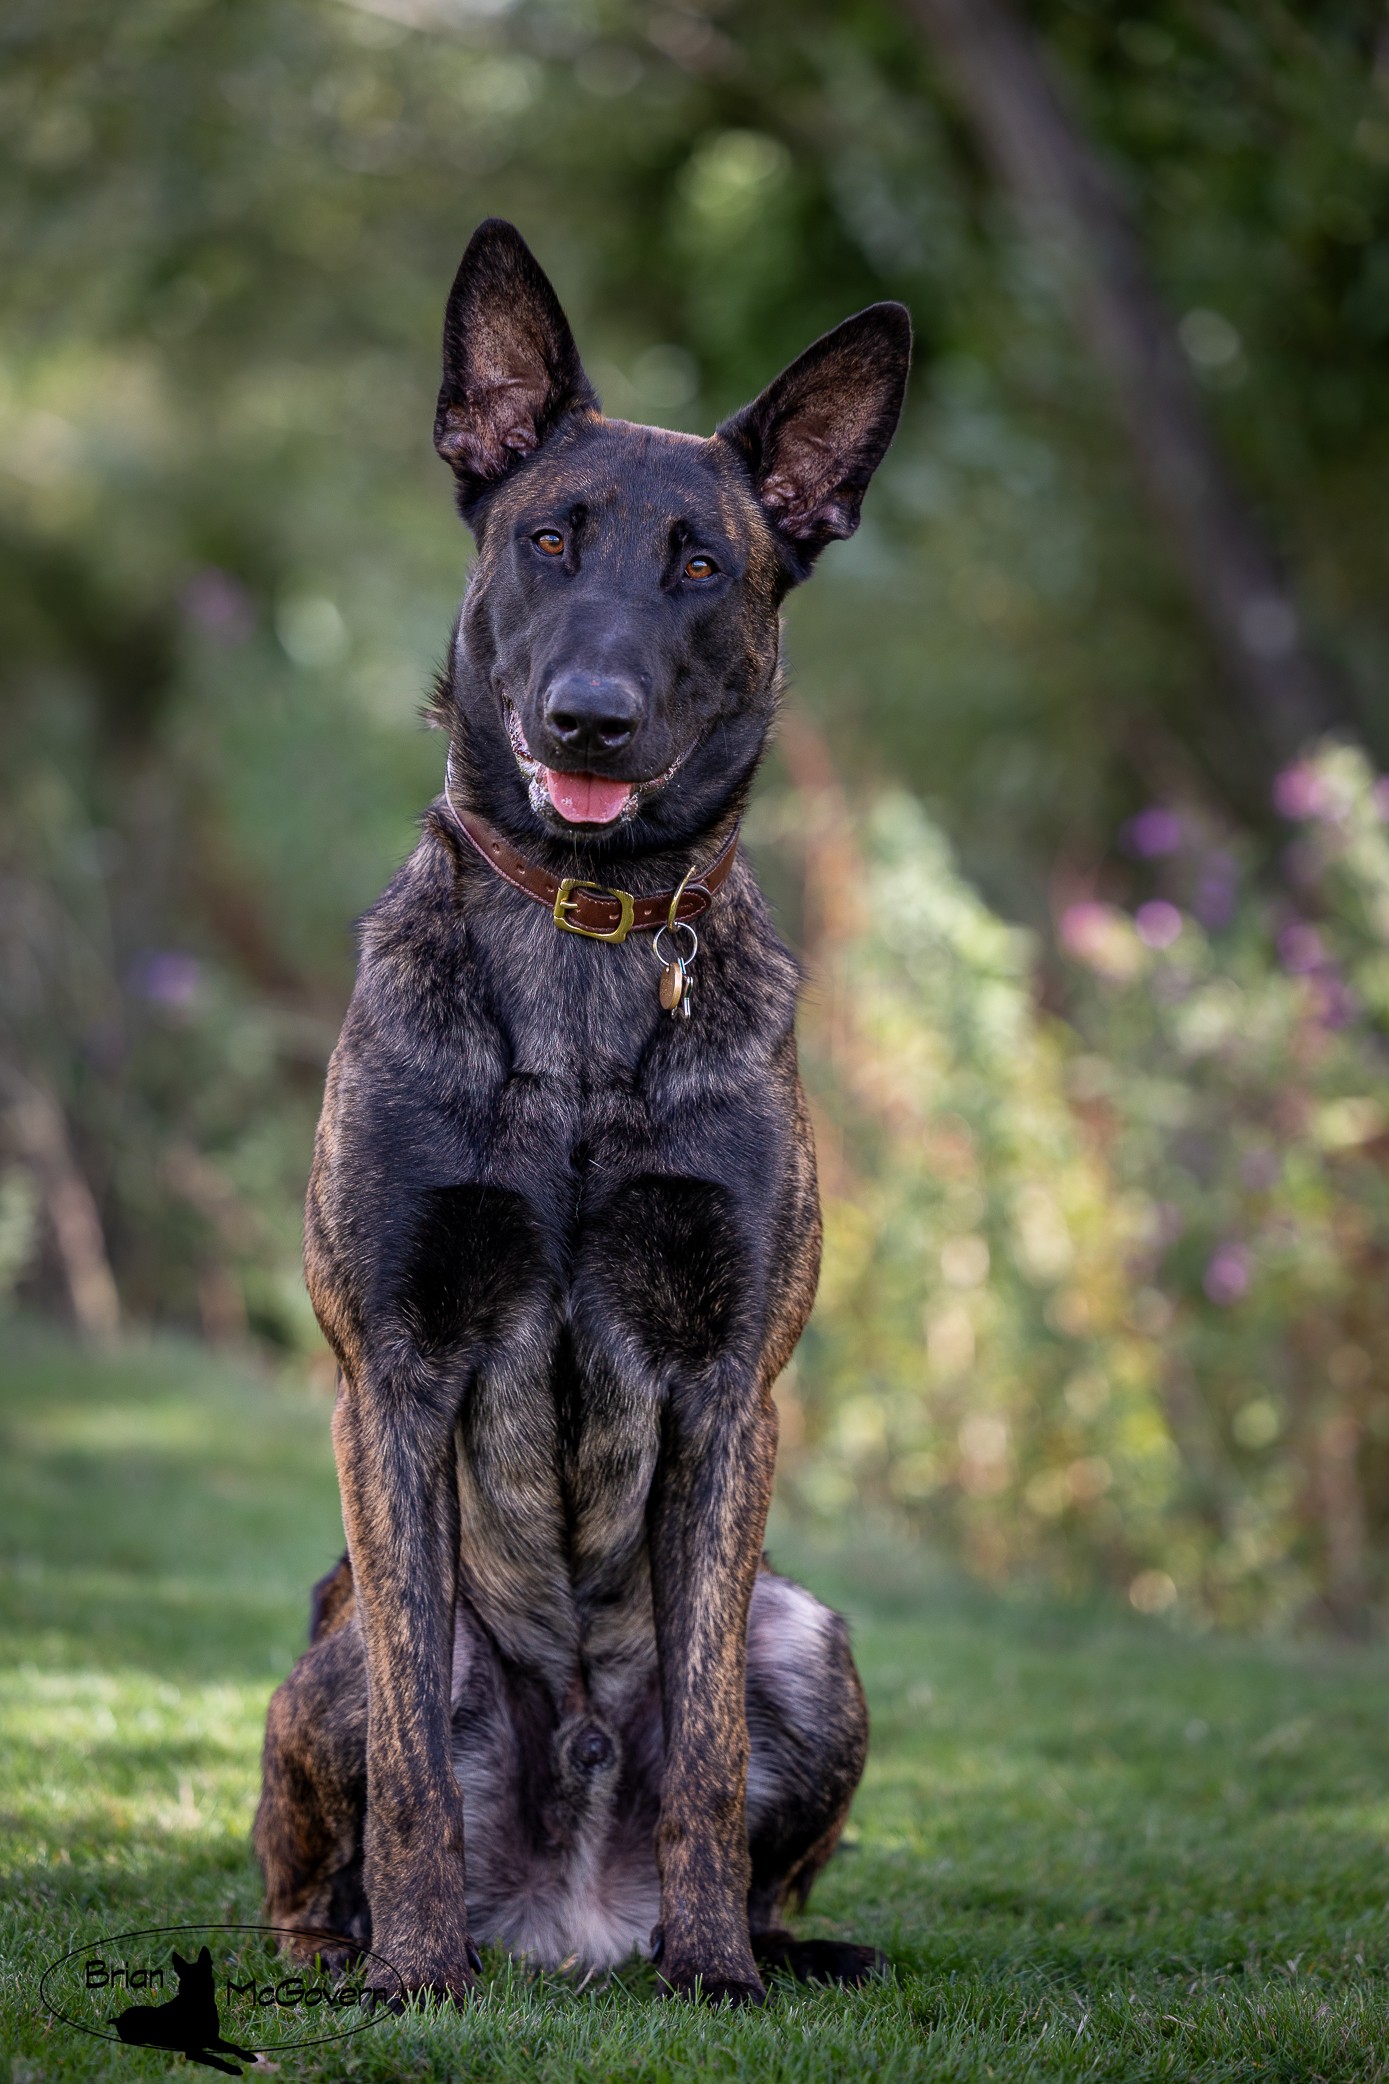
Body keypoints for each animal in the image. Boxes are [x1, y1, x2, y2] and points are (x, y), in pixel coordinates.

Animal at [255, 219, 912, 2008]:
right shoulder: (390, 1376)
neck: (584, 946)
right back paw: (349, 1947)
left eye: (702, 568)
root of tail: (564, 1919)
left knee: (740, 1793)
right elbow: (415, 1761)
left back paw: (758, 1944)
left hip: (808, 1634)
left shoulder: (727, 1388)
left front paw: (719, 1972)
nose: (592, 719)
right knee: (323, 1827)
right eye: (549, 539)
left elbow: (698, 1747)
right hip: (332, 1646)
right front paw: (414, 1973)